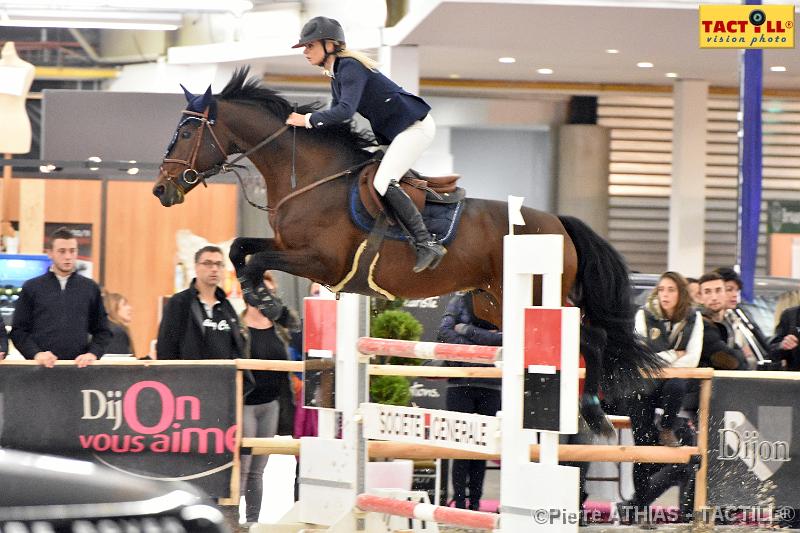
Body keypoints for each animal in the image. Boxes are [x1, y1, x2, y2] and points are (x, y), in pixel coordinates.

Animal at [153, 67, 660, 432]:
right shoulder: (289, 247)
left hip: (540, 294)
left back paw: (592, 413)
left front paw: (278, 310)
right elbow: (242, 251)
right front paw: (273, 309)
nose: (161, 190)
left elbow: (255, 260)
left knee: (592, 338)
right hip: (494, 303)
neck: (310, 177)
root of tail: (558, 223)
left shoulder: (320, 261)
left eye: (186, 133)